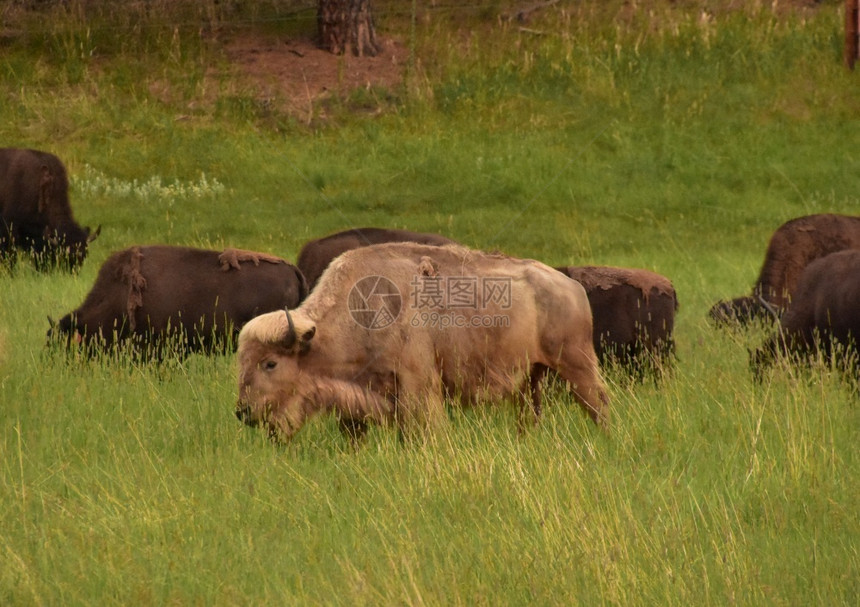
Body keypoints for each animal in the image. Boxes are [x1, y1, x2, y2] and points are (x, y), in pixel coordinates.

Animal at [239, 240, 608, 444]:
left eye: (270, 363)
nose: (242, 412)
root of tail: (571, 287)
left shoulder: (418, 387)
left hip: (577, 366)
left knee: (598, 404)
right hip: (531, 379)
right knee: (529, 416)